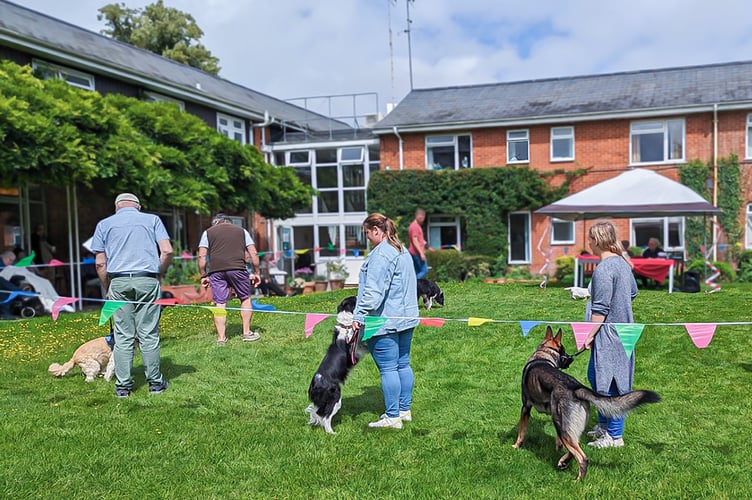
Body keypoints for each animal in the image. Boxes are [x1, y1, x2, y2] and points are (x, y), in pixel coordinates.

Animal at [302, 296, 368, 434]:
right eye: (355, 299)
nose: (358, 295)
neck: (346, 327)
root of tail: (315, 384)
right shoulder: (355, 348)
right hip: (335, 399)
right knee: (325, 416)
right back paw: (332, 433)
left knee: (319, 413)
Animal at [512, 324, 656, 480]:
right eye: (564, 352)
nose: (570, 359)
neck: (544, 355)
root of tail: (576, 387)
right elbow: (558, 441)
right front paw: (558, 449)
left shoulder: (525, 408)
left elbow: (521, 432)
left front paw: (516, 446)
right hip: (566, 425)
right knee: (576, 445)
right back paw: (563, 461)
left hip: (561, 425)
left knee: (582, 457)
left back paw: (577, 479)